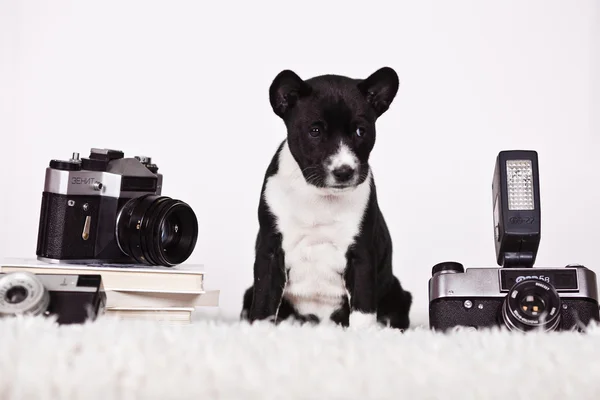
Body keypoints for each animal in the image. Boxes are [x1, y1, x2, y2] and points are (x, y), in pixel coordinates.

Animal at [241, 66, 410, 328]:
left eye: (360, 131)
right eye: (315, 131)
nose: (344, 171)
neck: (319, 197)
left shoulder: (361, 255)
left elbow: (363, 309)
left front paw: (364, 335)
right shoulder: (270, 250)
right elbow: (264, 302)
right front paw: (259, 330)